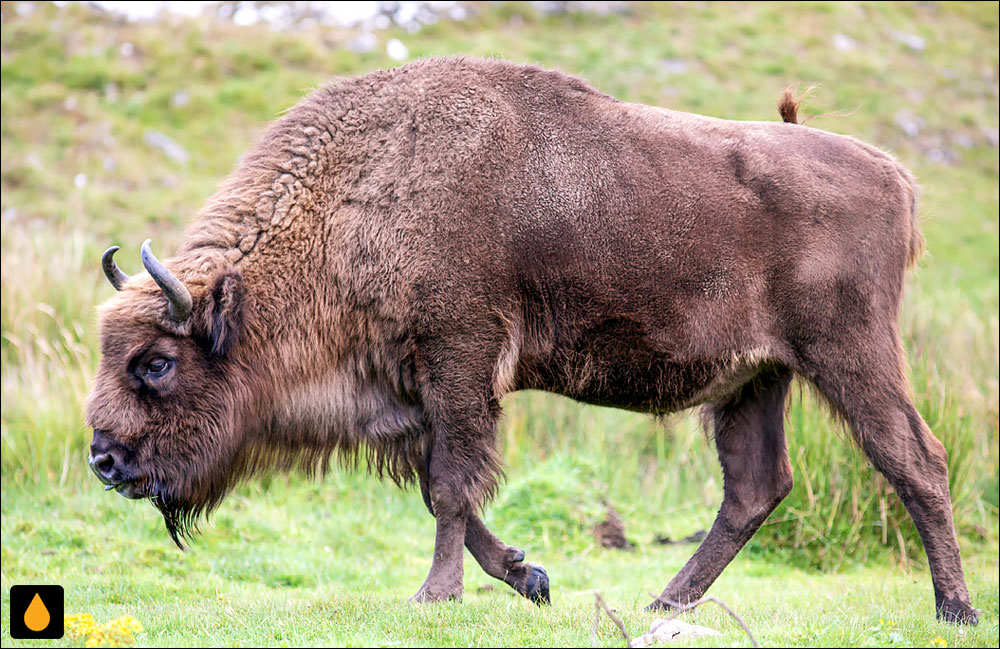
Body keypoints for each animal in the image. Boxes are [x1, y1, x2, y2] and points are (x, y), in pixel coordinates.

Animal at [86, 58, 976, 620]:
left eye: (156, 362)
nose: (103, 459)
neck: (361, 199)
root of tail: (893, 174)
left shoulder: (458, 362)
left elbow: (451, 487)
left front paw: (435, 595)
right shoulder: (414, 391)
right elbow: (445, 488)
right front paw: (530, 576)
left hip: (850, 355)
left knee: (916, 460)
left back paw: (955, 609)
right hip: (756, 378)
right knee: (757, 486)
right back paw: (664, 600)